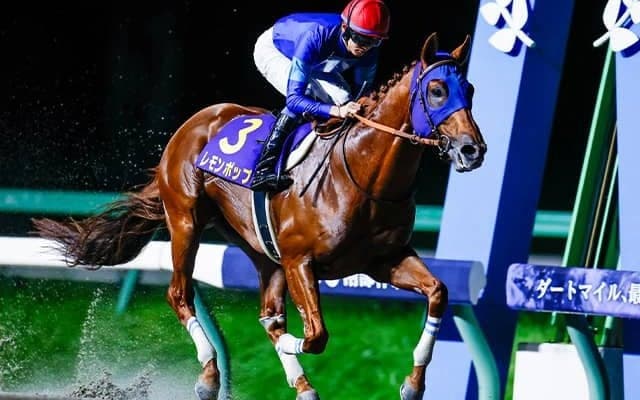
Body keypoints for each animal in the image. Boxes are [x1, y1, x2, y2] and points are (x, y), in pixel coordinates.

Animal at [32, 32, 486, 400]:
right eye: (438, 89)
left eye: (470, 88)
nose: (472, 150)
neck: (362, 174)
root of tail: (194, 122)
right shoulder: (300, 260)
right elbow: (317, 335)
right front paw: (288, 347)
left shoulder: (384, 259)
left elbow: (438, 292)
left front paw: (413, 384)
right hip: (186, 222)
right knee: (180, 294)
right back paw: (210, 375)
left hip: (260, 250)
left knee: (268, 313)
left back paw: (301, 385)